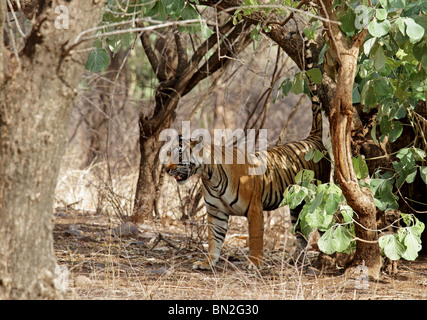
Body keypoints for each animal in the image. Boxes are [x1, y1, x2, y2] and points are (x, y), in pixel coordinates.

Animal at [164, 95, 332, 270]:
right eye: (169, 153)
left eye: (179, 156)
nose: (165, 169)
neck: (209, 177)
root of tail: (312, 138)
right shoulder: (216, 211)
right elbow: (214, 239)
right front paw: (208, 262)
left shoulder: (254, 208)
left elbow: (256, 238)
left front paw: (254, 263)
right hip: (296, 207)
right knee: (300, 233)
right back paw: (296, 261)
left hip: (319, 197)